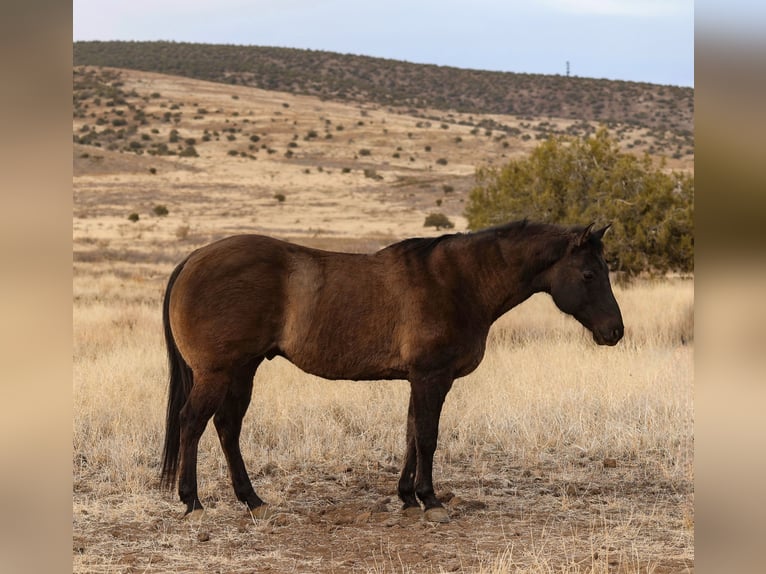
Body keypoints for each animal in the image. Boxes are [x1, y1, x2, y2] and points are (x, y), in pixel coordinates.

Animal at [160, 218, 624, 524]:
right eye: (588, 273)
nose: (615, 332)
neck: (459, 282)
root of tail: (193, 259)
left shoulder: (418, 380)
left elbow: (410, 435)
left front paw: (406, 496)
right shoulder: (432, 378)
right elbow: (428, 437)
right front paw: (430, 499)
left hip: (242, 371)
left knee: (227, 427)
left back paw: (252, 499)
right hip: (218, 373)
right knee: (192, 422)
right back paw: (192, 501)